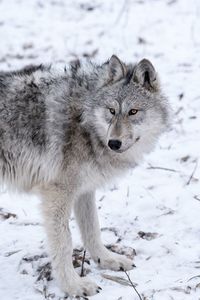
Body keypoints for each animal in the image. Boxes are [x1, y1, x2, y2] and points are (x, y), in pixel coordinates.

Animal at [0, 55, 170, 296]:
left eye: (133, 112)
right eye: (111, 111)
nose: (114, 143)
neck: (84, 120)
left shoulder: (84, 190)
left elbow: (93, 230)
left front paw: (107, 260)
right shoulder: (57, 195)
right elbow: (64, 243)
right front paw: (73, 286)